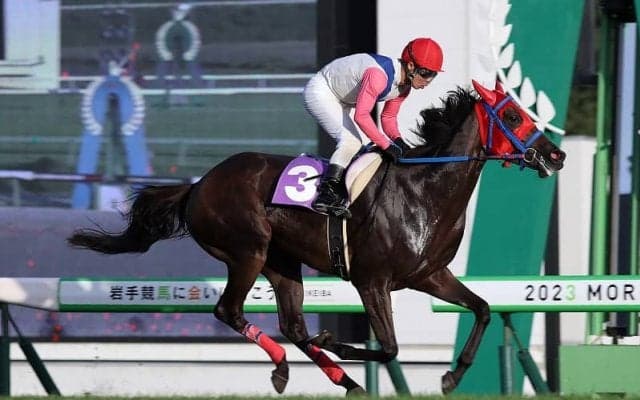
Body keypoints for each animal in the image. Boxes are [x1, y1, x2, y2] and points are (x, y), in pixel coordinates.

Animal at [67, 80, 565, 395]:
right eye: (512, 115)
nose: (556, 155)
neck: (425, 190)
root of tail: (199, 185)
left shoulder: (429, 275)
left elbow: (481, 309)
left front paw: (453, 376)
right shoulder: (372, 281)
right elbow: (389, 347)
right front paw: (339, 342)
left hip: (282, 262)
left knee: (293, 326)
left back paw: (342, 381)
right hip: (247, 251)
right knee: (230, 311)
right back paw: (297, 367)